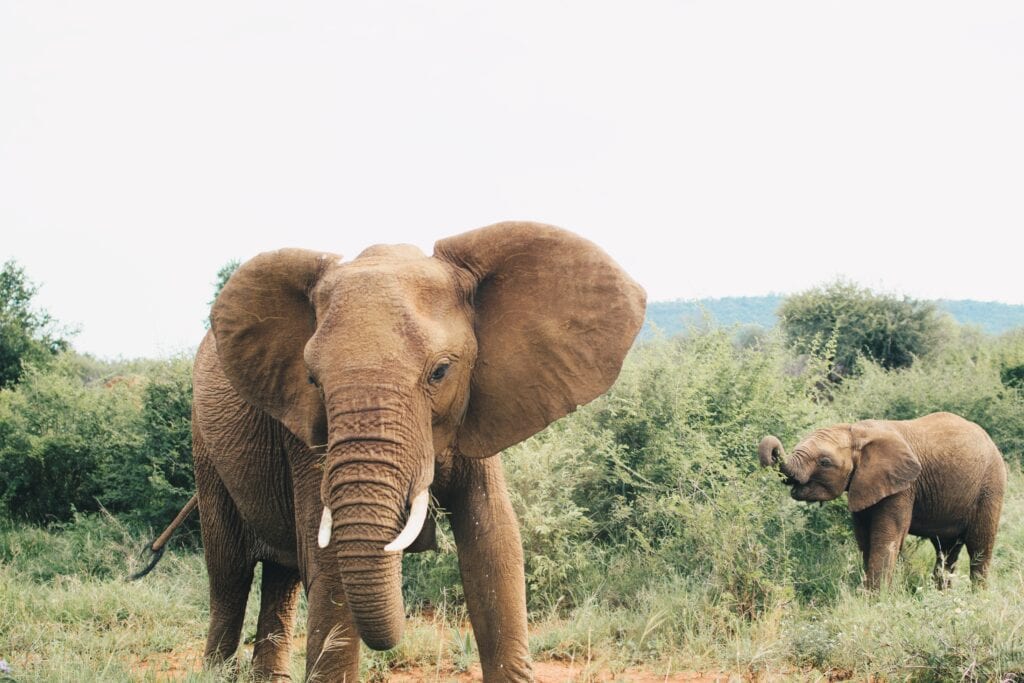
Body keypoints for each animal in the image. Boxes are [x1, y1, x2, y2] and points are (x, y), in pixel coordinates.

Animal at [189, 222, 643, 679]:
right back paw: (215, 670)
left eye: (440, 371)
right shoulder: (304, 429)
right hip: (204, 449)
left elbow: (493, 544)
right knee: (229, 575)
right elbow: (329, 564)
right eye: (313, 380)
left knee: (280, 576)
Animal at [761, 413, 1007, 589]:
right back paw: (941, 596)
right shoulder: (863, 482)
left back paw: (976, 598)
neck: (857, 431)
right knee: (946, 550)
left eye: (824, 462)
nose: (773, 448)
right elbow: (864, 538)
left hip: (990, 487)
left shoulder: (904, 487)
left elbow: (885, 537)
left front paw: (873, 599)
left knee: (979, 547)